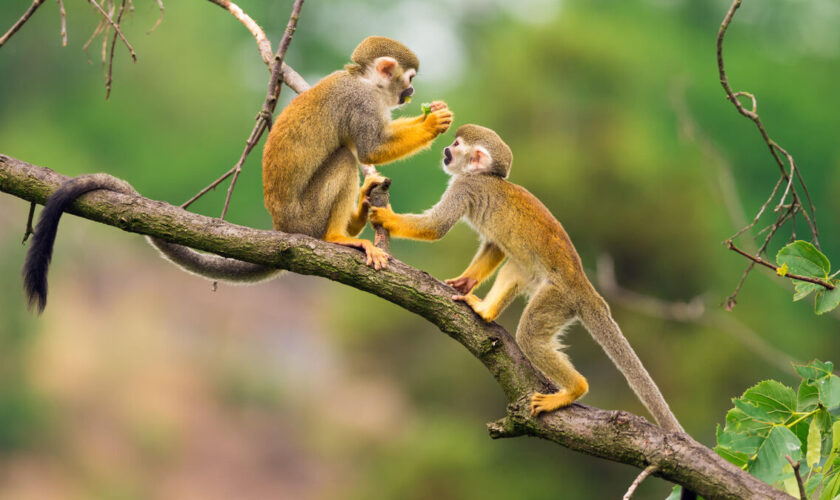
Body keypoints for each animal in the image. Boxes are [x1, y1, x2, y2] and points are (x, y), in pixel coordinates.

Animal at [21, 37, 452, 312]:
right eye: (409, 79)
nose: (412, 93)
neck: (365, 82)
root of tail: (283, 229)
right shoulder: (360, 102)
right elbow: (369, 148)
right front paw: (433, 124)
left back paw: (361, 212)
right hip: (306, 217)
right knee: (345, 158)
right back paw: (338, 237)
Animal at [368, 124, 684, 430]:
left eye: (456, 145)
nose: (446, 150)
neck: (484, 176)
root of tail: (585, 288)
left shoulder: (464, 187)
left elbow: (436, 227)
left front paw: (386, 218)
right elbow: (494, 245)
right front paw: (466, 281)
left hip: (558, 298)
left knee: (530, 335)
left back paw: (574, 389)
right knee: (516, 266)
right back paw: (486, 311)